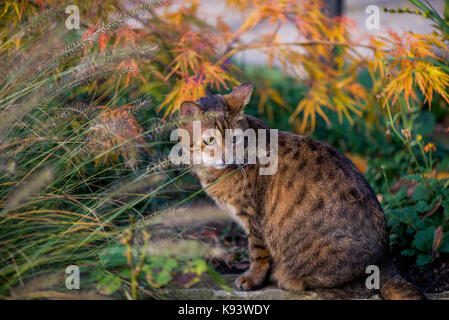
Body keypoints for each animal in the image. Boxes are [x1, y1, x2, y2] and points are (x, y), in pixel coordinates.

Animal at [177, 82, 426, 300]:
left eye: (235, 138)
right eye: (210, 140)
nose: (225, 155)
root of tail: (387, 261)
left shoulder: (254, 219)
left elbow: (257, 253)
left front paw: (252, 279)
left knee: (360, 289)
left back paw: (287, 280)